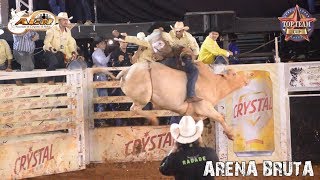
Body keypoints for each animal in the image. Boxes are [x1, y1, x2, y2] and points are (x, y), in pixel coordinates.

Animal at [109, 30, 252, 141]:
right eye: (234, 74)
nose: (249, 75)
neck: (214, 83)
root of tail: (126, 71)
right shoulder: (205, 106)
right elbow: (220, 117)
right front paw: (231, 135)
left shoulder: (194, 116)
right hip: (143, 97)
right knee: (134, 109)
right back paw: (154, 119)